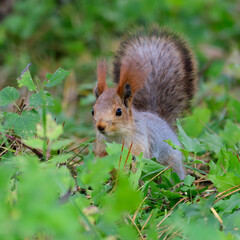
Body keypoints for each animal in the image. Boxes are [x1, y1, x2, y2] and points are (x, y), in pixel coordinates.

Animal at [91, 26, 197, 180]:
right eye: (93, 111)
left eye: (119, 111)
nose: (100, 126)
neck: (116, 136)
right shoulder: (102, 144)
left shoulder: (140, 143)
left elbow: (136, 158)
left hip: (171, 161)